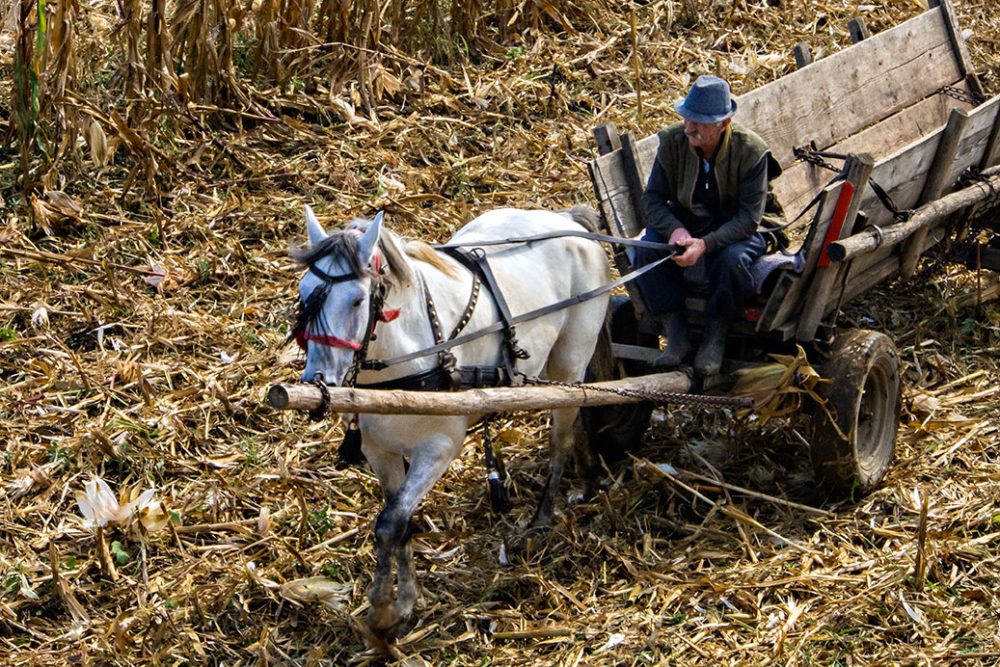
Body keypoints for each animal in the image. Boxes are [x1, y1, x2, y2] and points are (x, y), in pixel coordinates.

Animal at [290, 205, 608, 640]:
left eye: (357, 300)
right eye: (304, 292)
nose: (317, 380)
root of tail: (570, 222)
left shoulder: (438, 448)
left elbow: (390, 522)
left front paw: (383, 610)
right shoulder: (379, 451)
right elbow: (400, 520)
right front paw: (406, 599)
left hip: (571, 359)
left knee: (561, 434)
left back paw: (542, 519)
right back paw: (588, 475)